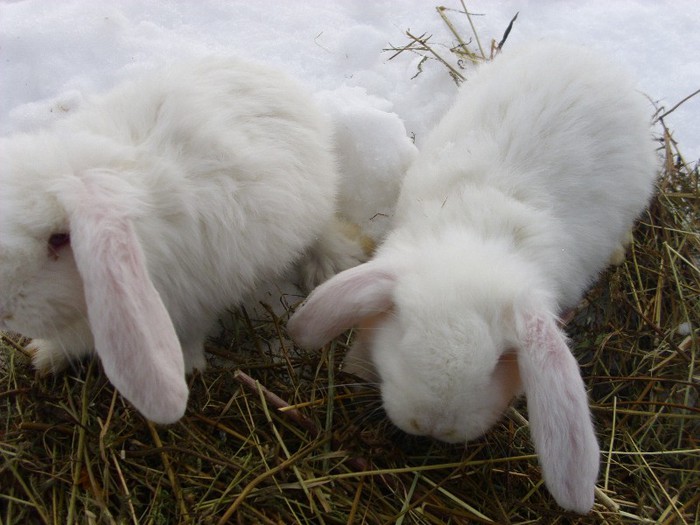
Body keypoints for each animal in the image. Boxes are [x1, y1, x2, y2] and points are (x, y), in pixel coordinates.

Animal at [0, 57, 364, 424]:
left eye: (59, 239)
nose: (5, 312)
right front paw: (43, 357)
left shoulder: (196, 299)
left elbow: (188, 335)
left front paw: (187, 369)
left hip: (311, 204)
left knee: (320, 231)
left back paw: (332, 264)